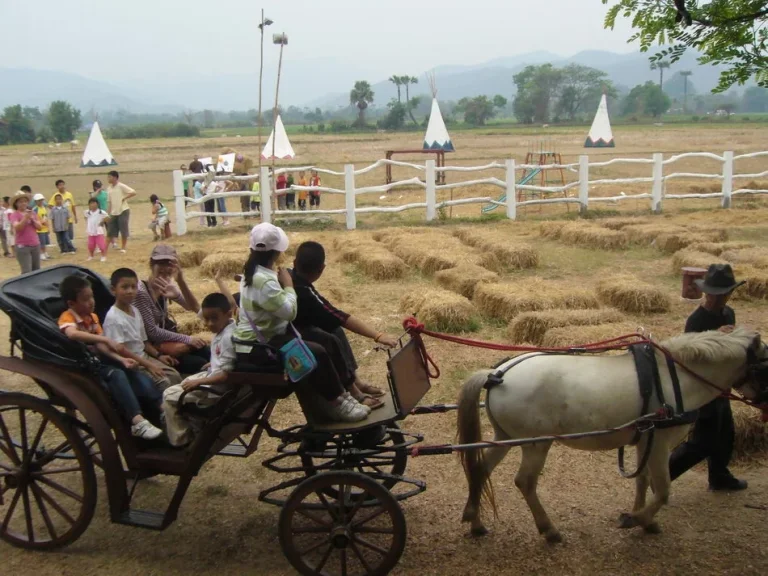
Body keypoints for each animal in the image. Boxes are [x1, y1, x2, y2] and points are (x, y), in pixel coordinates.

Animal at [460, 328, 764, 540]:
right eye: (767, 363)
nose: (765, 406)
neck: (673, 378)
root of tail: (498, 373)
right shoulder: (660, 443)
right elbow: (663, 490)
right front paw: (637, 519)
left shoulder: (646, 441)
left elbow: (642, 481)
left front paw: (643, 518)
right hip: (536, 444)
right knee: (525, 482)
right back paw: (549, 530)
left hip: (504, 437)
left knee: (480, 469)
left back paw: (476, 522)